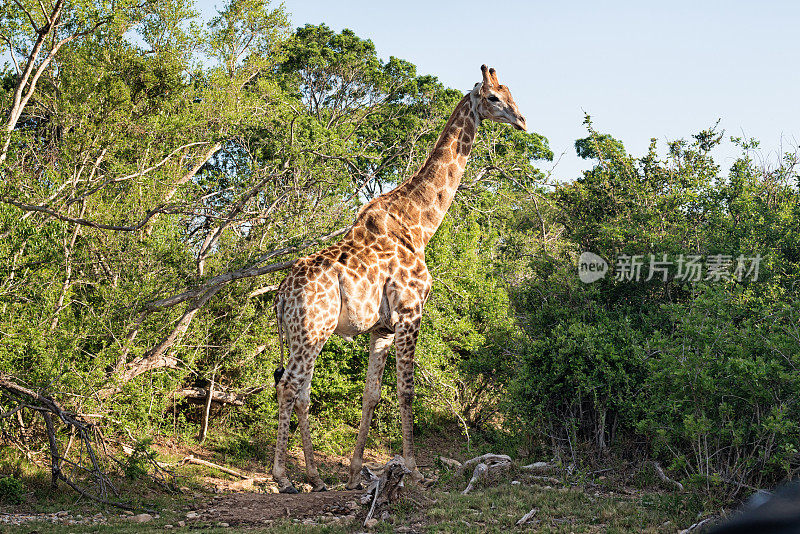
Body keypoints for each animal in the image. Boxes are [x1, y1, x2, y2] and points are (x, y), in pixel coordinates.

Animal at [272, 65, 528, 496]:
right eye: (494, 97)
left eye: (511, 94)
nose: (523, 121)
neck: (420, 225)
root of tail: (279, 296)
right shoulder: (410, 311)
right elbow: (406, 391)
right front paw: (412, 469)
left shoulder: (382, 328)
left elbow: (372, 395)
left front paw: (356, 473)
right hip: (312, 330)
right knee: (291, 386)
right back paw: (283, 477)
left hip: (297, 334)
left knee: (296, 388)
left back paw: (315, 477)